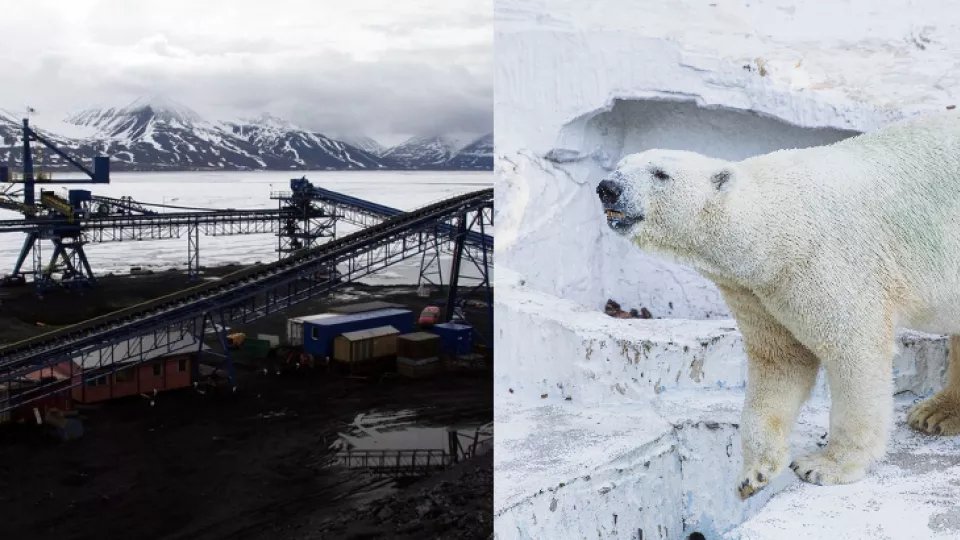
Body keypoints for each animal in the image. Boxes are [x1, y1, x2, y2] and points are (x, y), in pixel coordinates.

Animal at [596, 110, 960, 502]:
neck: (777, 223)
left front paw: (825, 466)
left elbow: (853, 352)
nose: (607, 187)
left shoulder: (826, 263)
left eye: (660, 173)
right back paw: (938, 413)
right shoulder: (756, 290)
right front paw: (754, 474)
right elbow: (779, 360)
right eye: (621, 165)